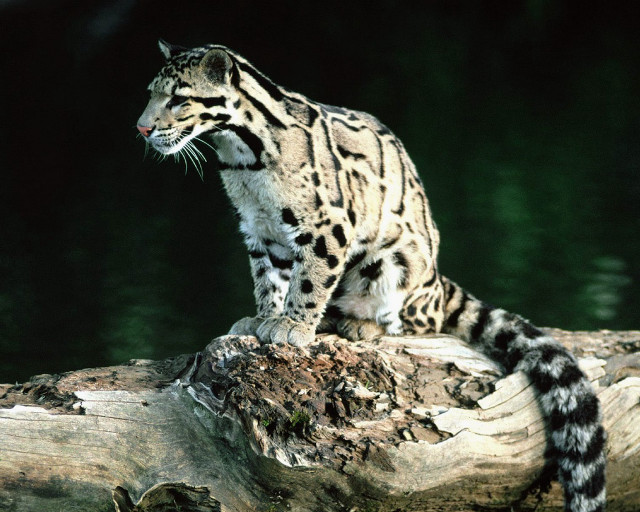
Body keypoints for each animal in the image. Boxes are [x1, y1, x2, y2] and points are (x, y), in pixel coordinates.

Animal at [137, 40, 606, 512]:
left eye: (178, 99)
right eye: (151, 93)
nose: (141, 128)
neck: (243, 159)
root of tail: (439, 284)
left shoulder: (327, 225)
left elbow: (309, 281)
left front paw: (292, 326)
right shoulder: (259, 229)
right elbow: (268, 278)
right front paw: (263, 318)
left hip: (392, 265)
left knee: (414, 323)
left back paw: (359, 324)